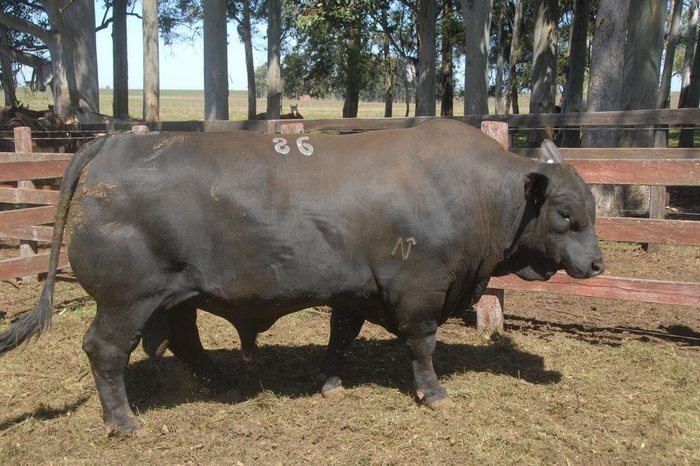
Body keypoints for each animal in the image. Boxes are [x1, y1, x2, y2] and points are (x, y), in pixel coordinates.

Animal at [0, 118, 600, 436]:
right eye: (565, 213)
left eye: (590, 208)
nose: (597, 264)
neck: (479, 196)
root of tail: (113, 141)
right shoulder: (418, 291)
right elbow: (421, 345)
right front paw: (433, 393)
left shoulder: (354, 290)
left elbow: (340, 336)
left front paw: (330, 382)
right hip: (128, 299)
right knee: (105, 350)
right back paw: (123, 421)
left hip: (178, 295)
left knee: (186, 342)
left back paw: (224, 383)